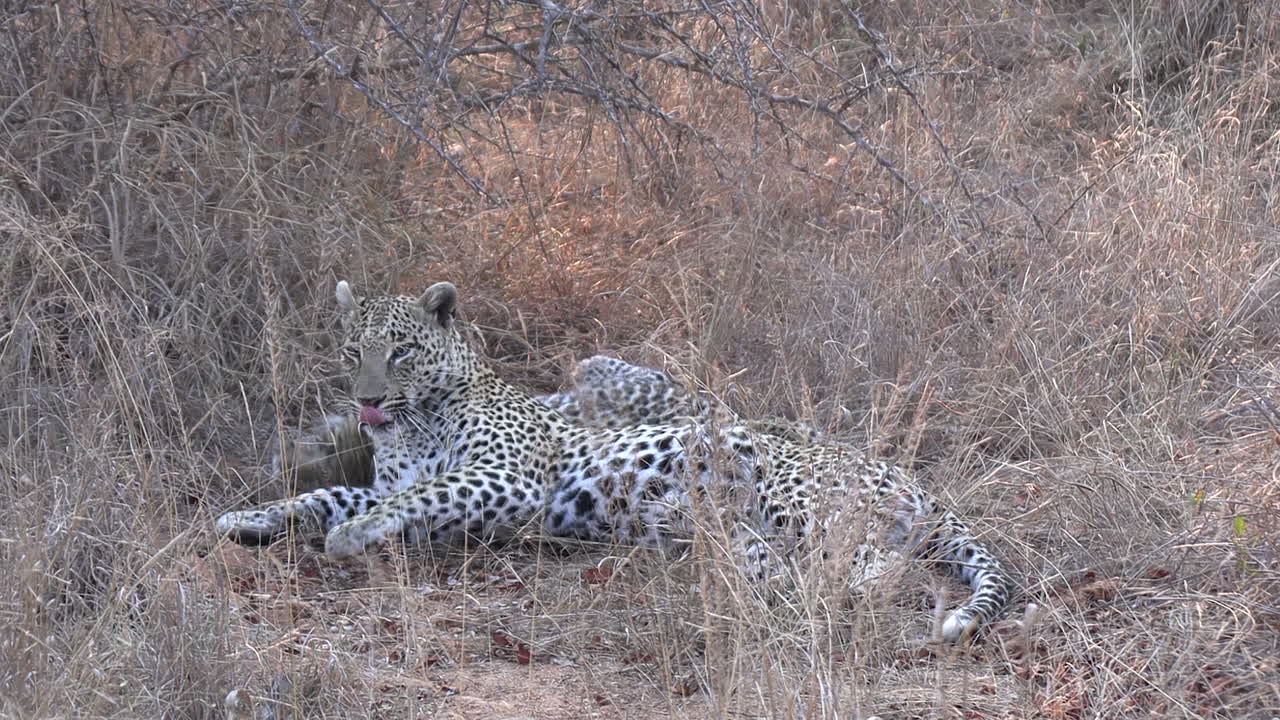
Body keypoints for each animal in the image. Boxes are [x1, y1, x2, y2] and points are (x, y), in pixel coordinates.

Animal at [215, 281, 1013, 641]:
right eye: (355, 351)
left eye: (402, 351)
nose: (368, 401)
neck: (411, 426)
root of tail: (913, 481)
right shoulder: (392, 478)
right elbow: (332, 498)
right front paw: (249, 518)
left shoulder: (508, 482)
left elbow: (406, 501)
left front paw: (348, 539)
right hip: (737, 534)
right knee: (791, 568)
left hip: (793, 495)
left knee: (880, 566)